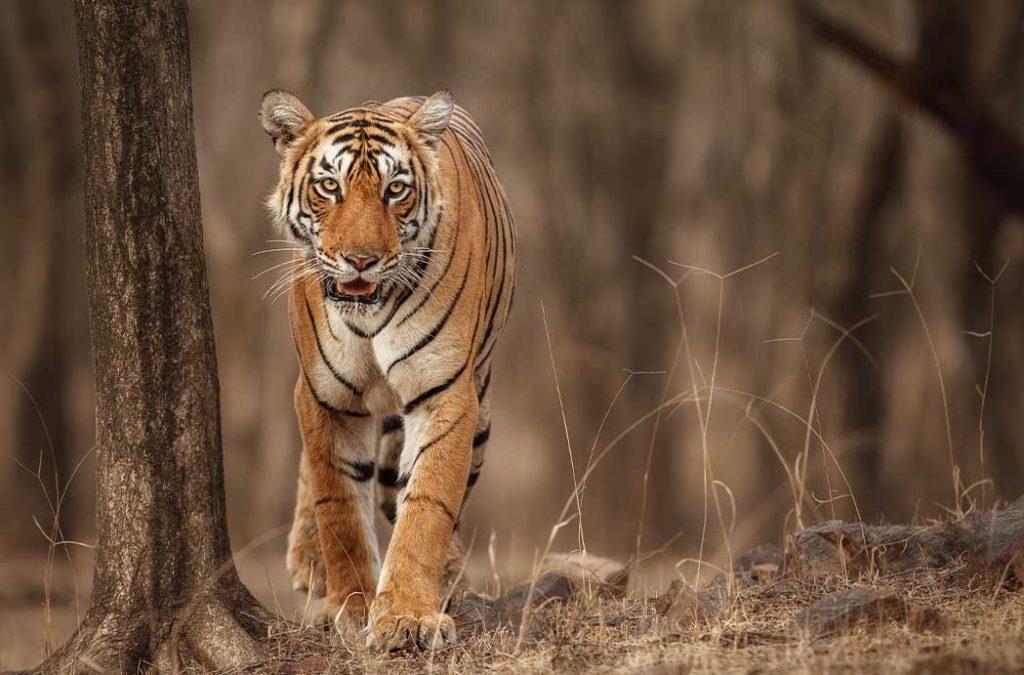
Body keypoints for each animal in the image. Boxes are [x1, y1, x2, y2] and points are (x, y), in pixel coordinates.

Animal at [260, 88, 516, 651]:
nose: (361, 260)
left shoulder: (445, 393)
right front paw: (352, 606)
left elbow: (426, 505)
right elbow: (338, 504)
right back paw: (309, 562)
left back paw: (447, 578)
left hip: (482, 412)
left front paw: (406, 617)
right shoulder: (323, 396)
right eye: (329, 187)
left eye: (395, 190)